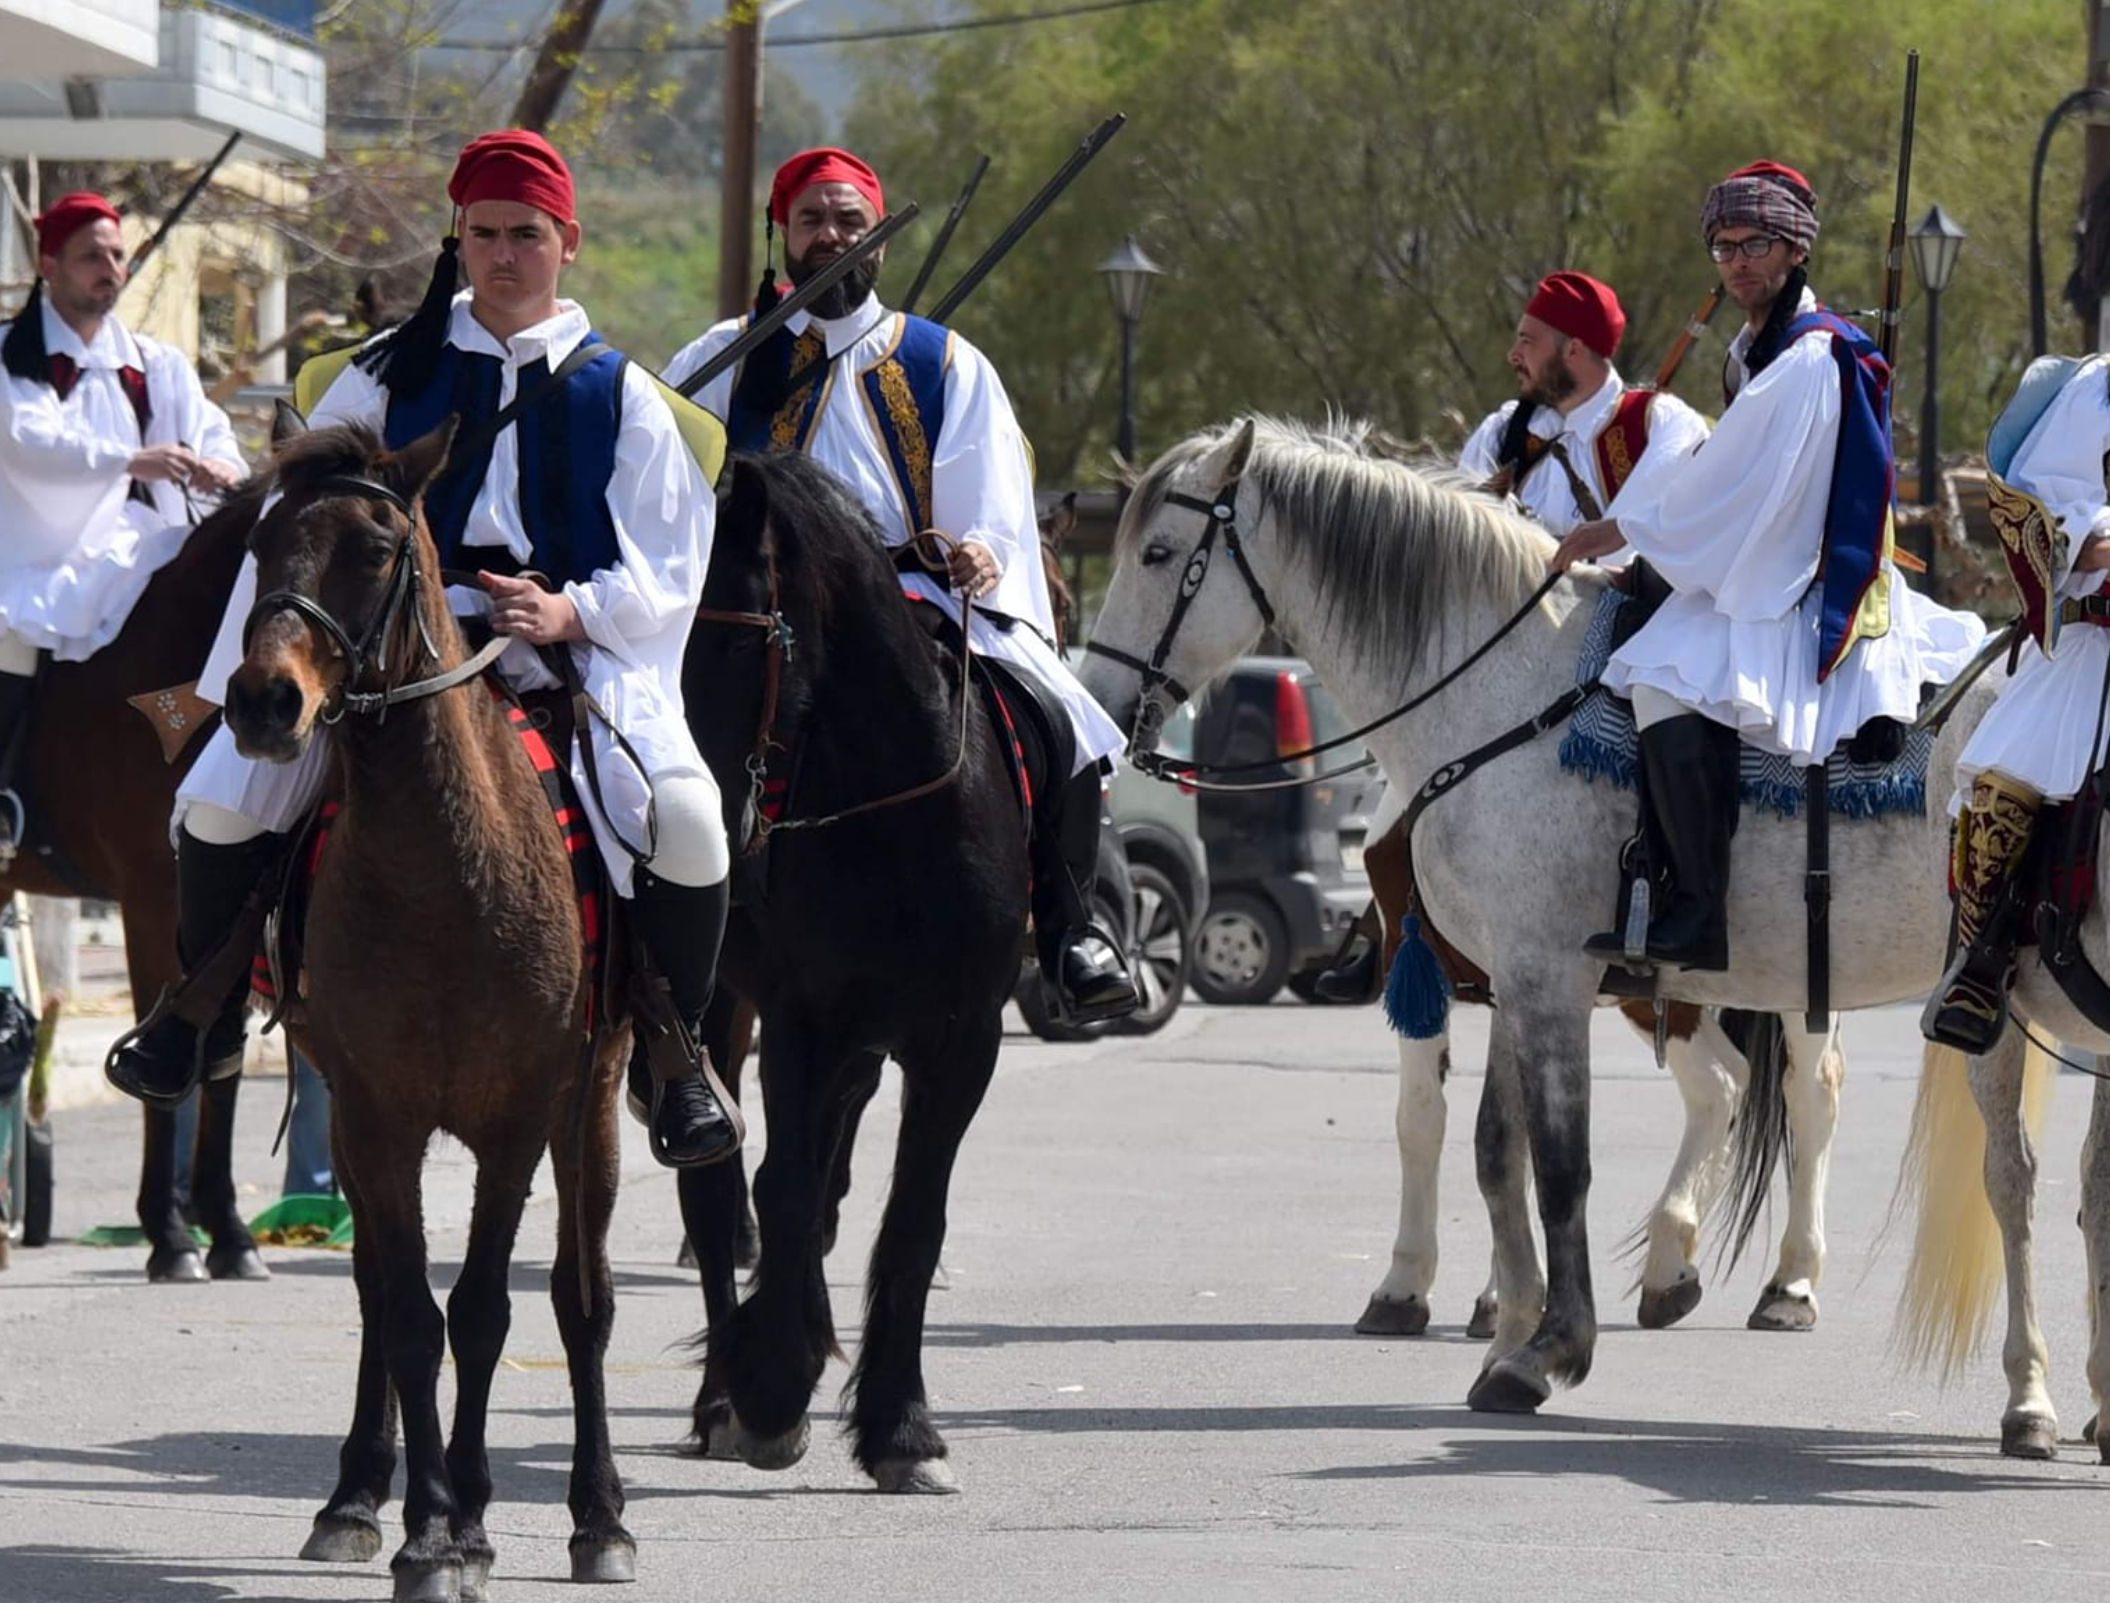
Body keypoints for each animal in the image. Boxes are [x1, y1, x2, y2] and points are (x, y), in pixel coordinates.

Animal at [231, 419, 628, 1594]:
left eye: (373, 546)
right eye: (260, 544)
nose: (264, 702)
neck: (443, 877)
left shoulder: (518, 1116)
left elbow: (488, 1310)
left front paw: (480, 1522)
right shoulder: (375, 1112)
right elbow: (406, 1312)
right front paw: (427, 1527)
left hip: (593, 1102)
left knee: (583, 1299)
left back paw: (598, 1514)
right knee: (377, 1288)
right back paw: (357, 1495)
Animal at [675, 447, 1021, 1493]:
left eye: (741, 647)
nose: (709, 840)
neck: (900, 818)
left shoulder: (962, 1039)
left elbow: (911, 1217)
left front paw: (901, 1427)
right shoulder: (801, 1018)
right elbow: (779, 1190)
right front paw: (770, 1390)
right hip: (721, 1013)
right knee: (722, 1192)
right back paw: (722, 1395)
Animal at [1088, 415, 1991, 1417]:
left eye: (1160, 553)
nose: (1100, 702)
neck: (1505, 698)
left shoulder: (1548, 977)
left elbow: (1558, 1162)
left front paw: (1548, 1348)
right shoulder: (1508, 979)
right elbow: (1493, 1148)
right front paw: (1506, 1323)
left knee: (1802, 1089)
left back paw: (1786, 1282)